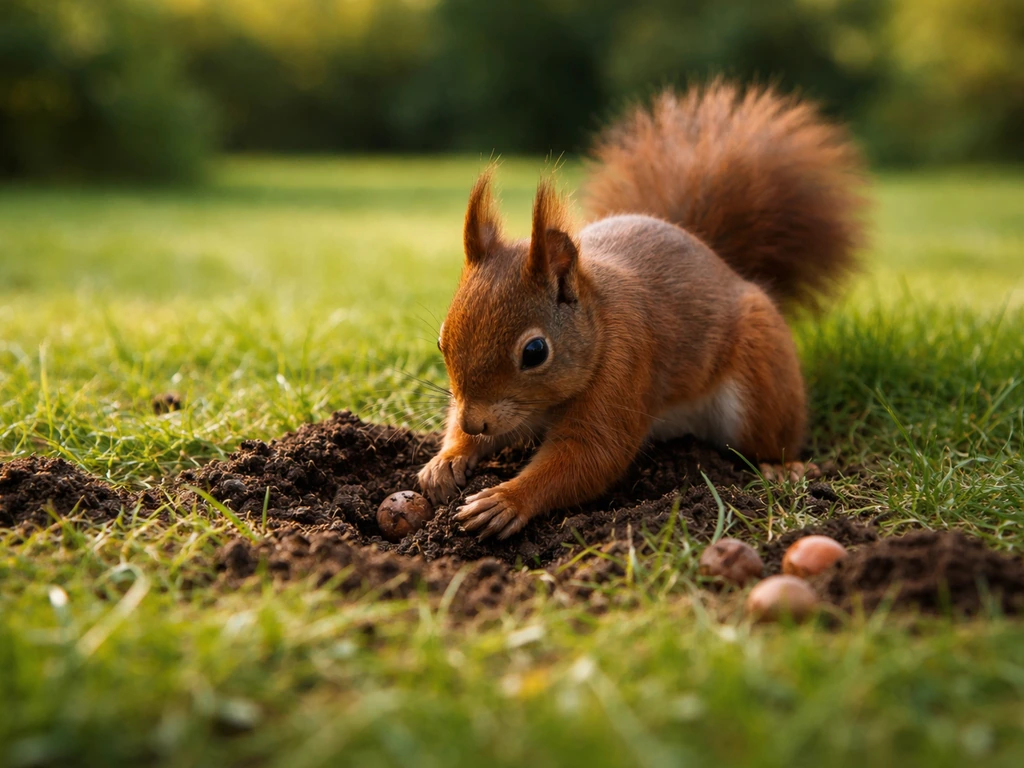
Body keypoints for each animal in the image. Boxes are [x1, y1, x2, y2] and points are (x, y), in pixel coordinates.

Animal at [417, 80, 866, 539]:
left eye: (535, 352)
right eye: (441, 341)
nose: (473, 422)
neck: (598, 319)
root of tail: (725, 265)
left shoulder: (626, 363)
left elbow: (592, 453)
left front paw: (506, 499)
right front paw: (447, 460)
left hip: (763, 380)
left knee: (771, 432)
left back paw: (783, 467)